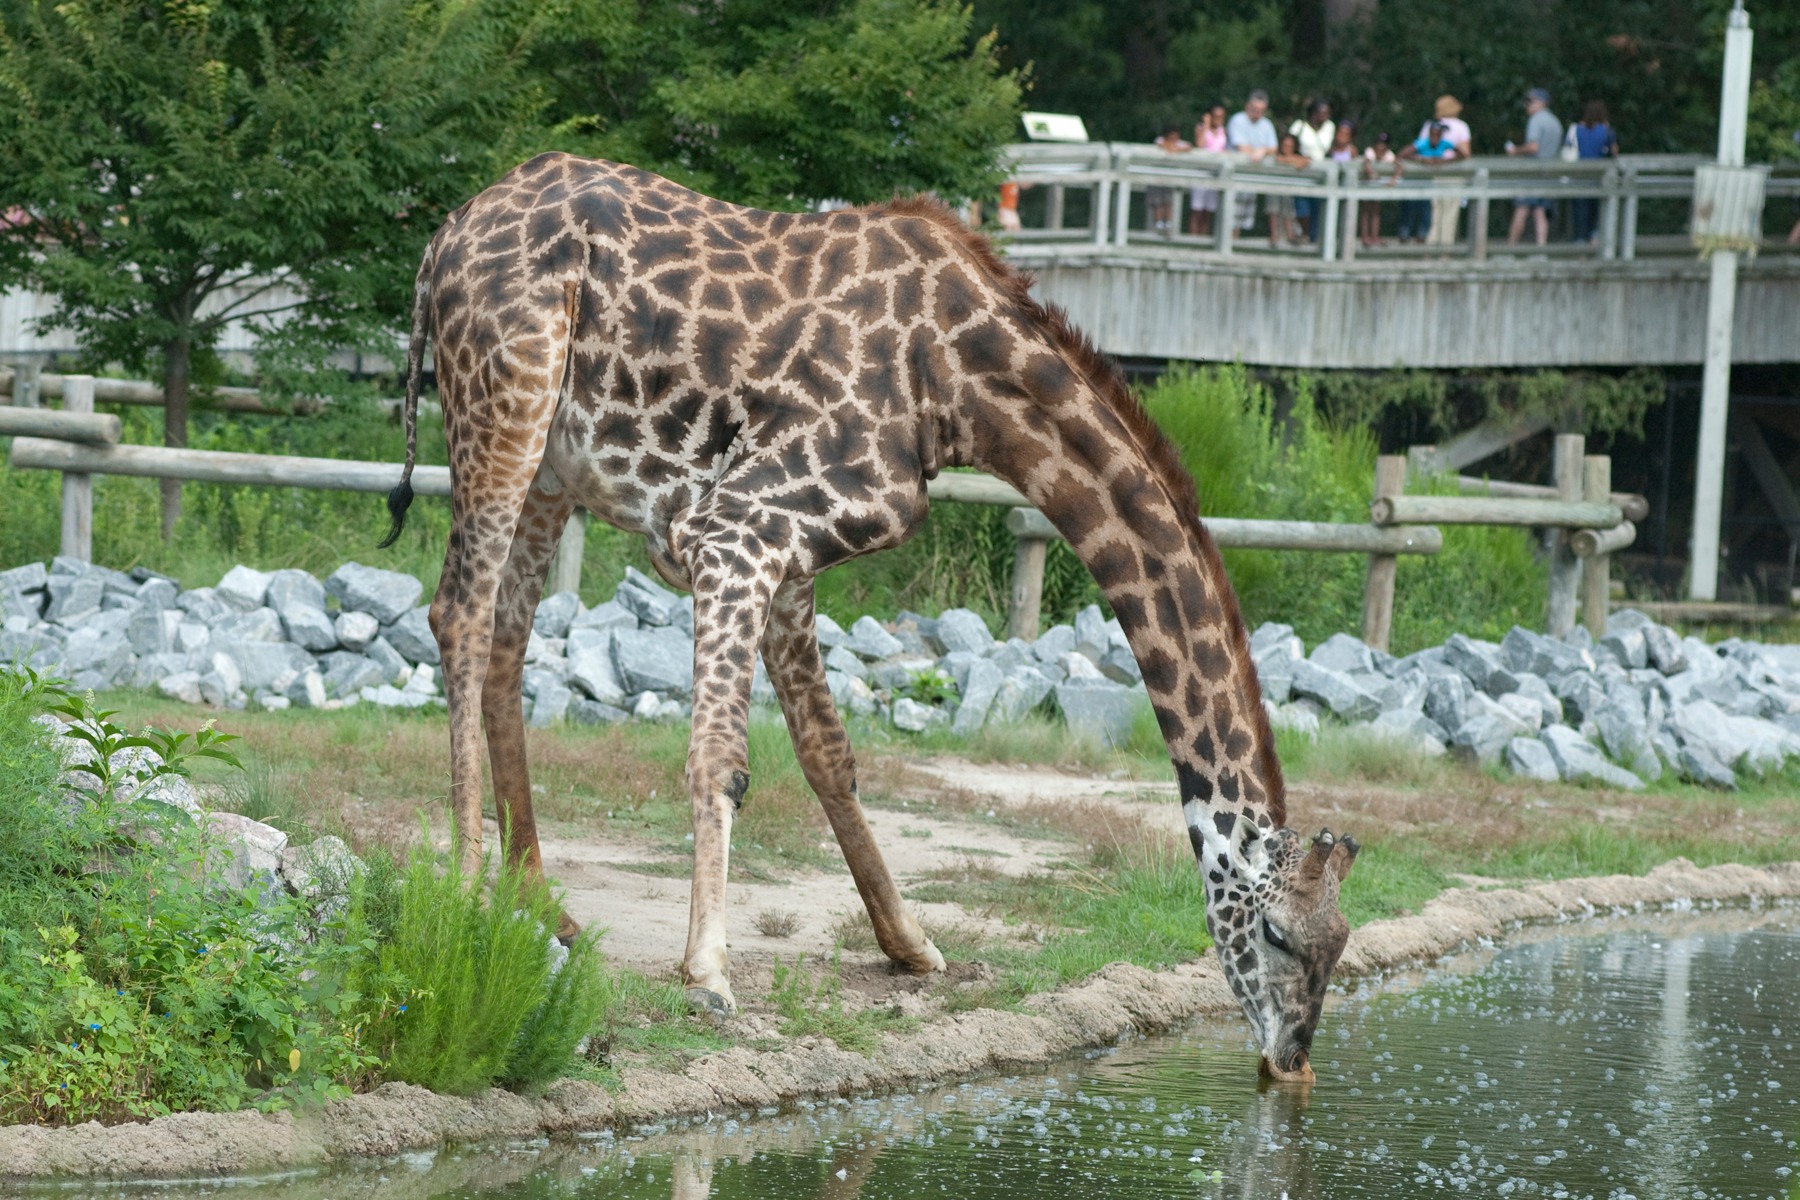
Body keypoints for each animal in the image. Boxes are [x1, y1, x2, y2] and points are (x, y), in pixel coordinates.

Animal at [380, 152, 1361, 1084]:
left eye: (1342, 944)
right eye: (1278, 935)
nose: (1293, 1058)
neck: (957, 385)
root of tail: (440, 245)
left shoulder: (783, 552)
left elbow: (828, 751)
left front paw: (911, 945)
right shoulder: (735, 530)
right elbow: (723, 760)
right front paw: (709, 974)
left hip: (554, 465)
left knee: (507, 636)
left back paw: (542, 904)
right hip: (506, 404)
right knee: (459, 613)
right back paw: (467, 891)